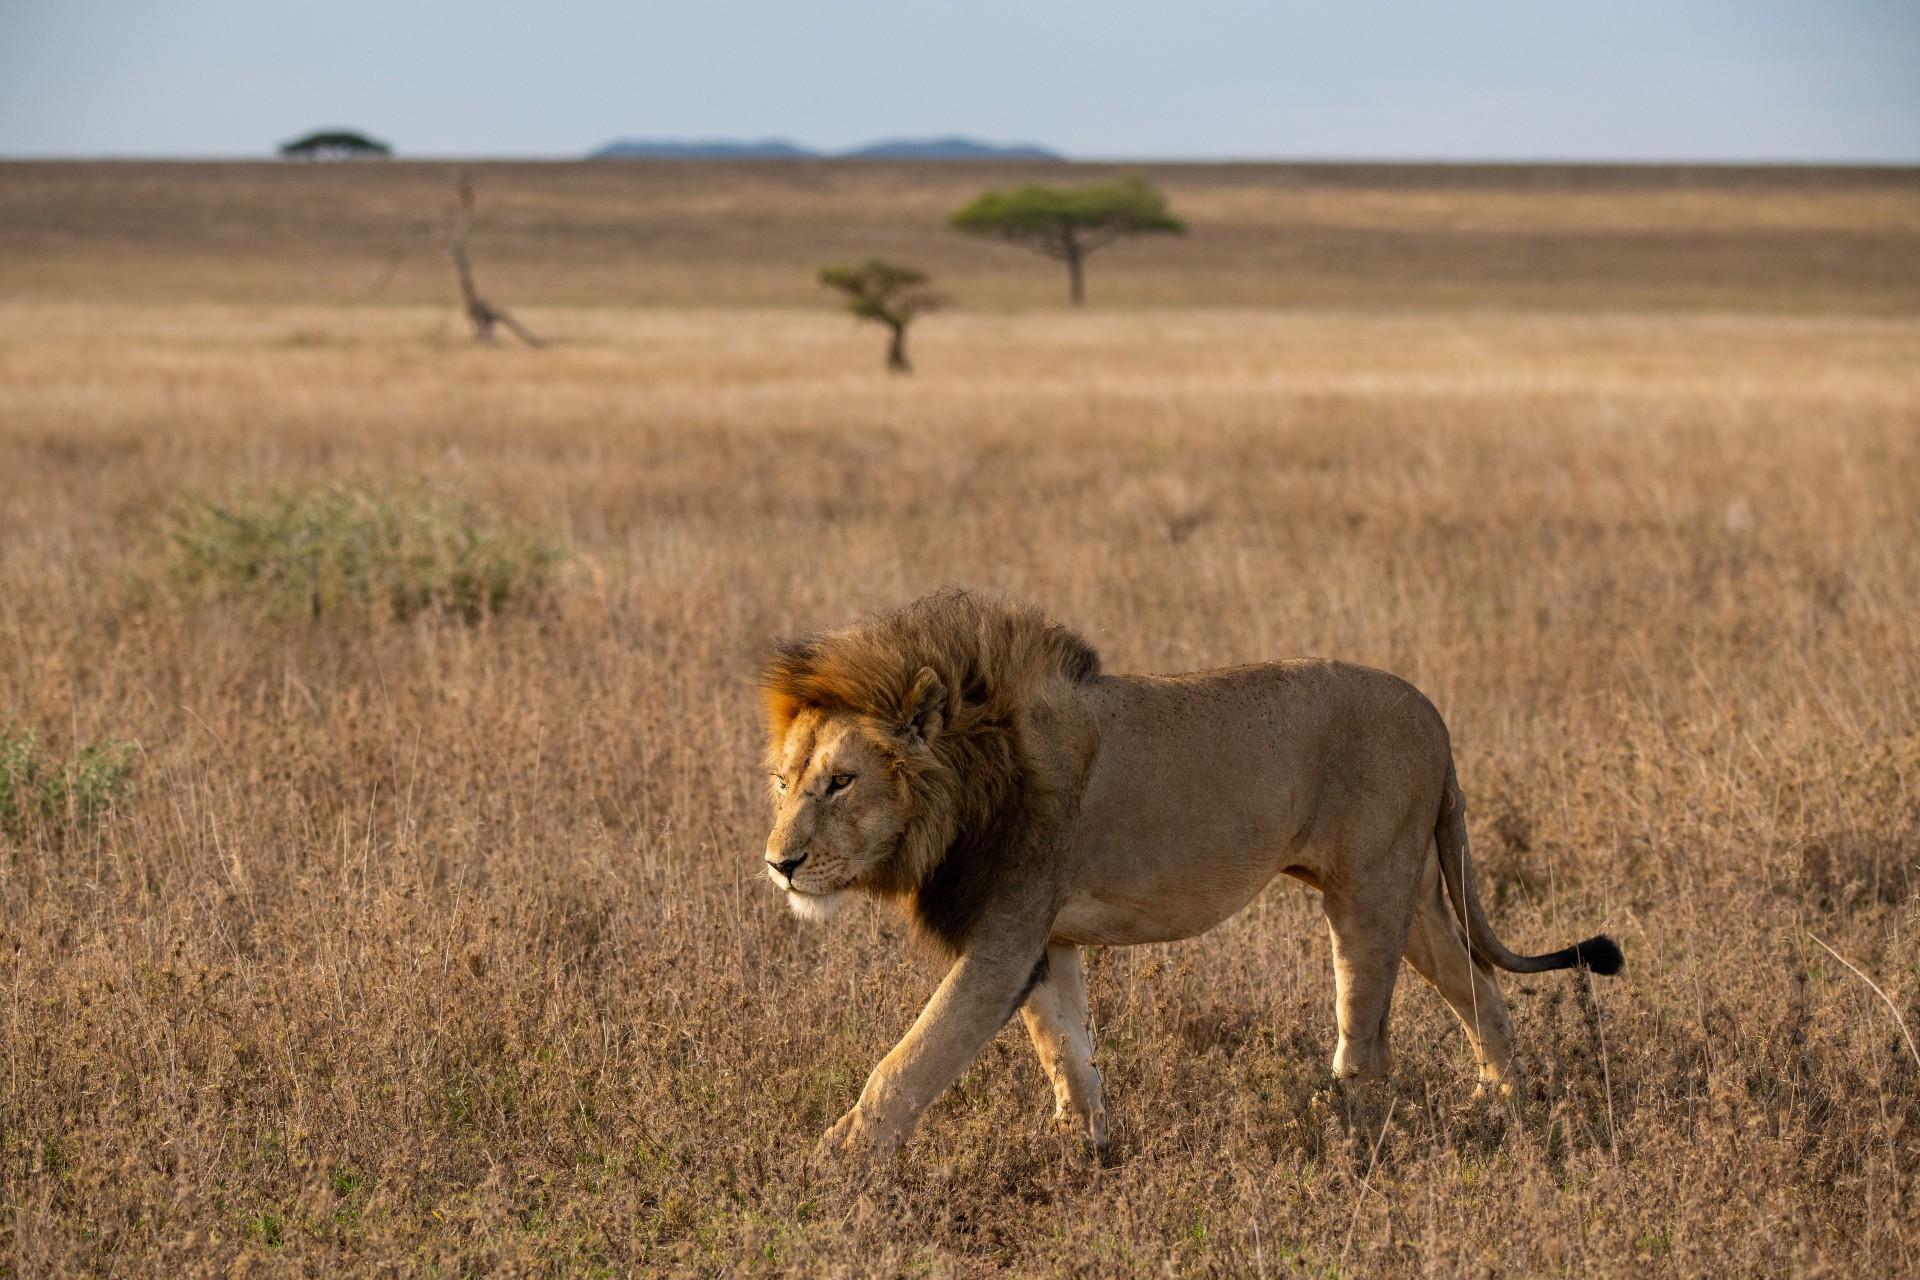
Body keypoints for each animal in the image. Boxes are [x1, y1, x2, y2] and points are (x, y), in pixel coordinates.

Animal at [759, 591, 1622, 1157]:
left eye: (840, 783)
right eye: (782, 782)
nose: (779, 864)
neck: (971, 772)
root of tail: (1435, 715)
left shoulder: (1004, 934)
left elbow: (912, 1058)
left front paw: (832, 1163)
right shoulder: (1044, 938)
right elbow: (1065, 1048)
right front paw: (1081, 1149)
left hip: (1369, 891)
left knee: (1369, 1037)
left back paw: (1345, 1132)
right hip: (1410, 893)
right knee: (1479, 984)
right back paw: (1502, 1103)